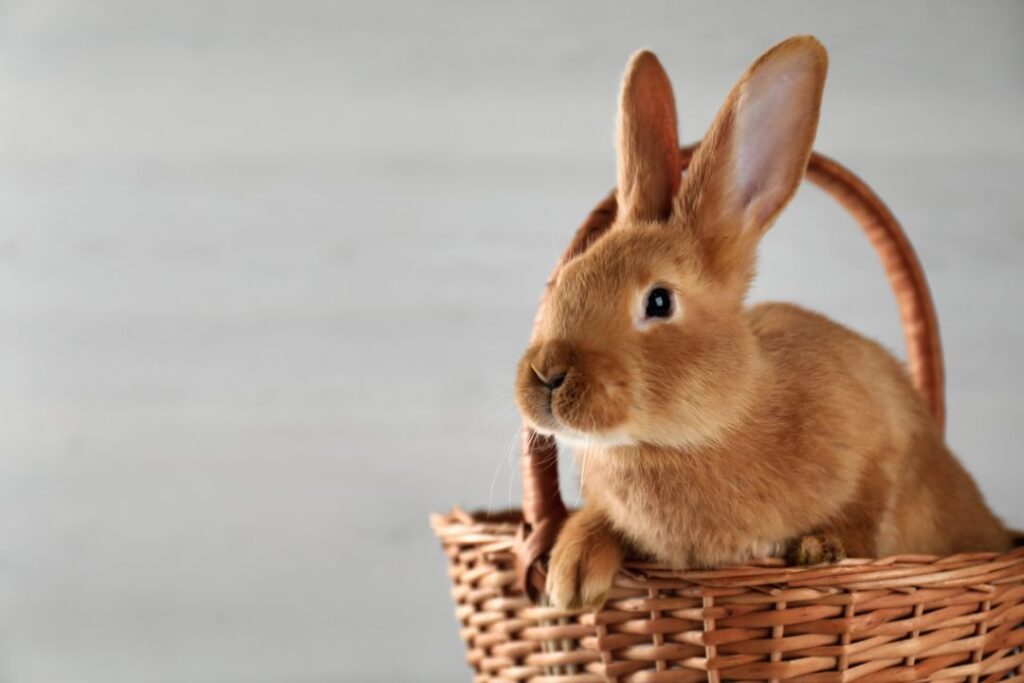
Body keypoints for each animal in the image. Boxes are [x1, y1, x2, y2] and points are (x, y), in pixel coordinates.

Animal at [513, 35, 1012, 611]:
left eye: (659, 302)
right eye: (563, 279)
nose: (547, 373)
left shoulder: (887, 443)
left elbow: (871, 508)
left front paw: (822, 548)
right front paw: (571, 576)